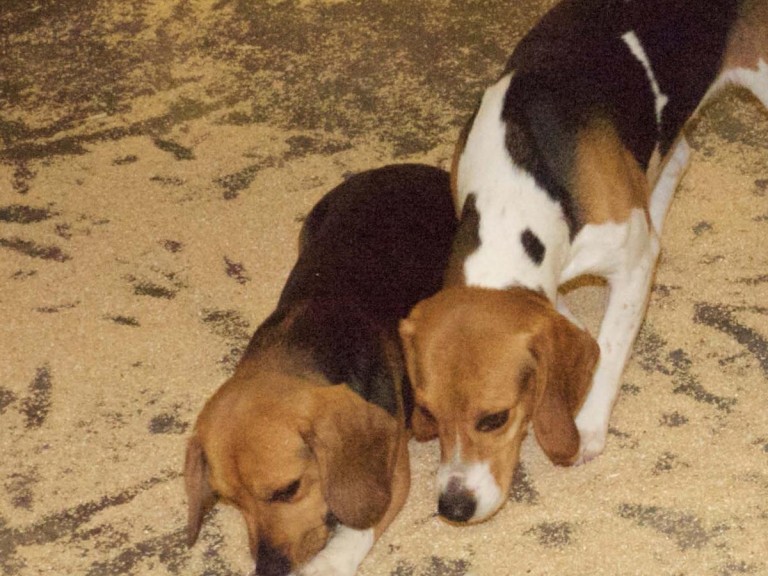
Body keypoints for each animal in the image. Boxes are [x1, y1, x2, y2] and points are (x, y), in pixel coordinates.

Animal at [185, 163, 456, 576]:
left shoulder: (392, 474)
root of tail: (413, 168)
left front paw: (328, 562)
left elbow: (356, 530)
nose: (269, 568)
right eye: (230, 501)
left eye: (288, 490)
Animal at [400, 0, 764, 524]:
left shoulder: (632, 265)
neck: (518, 184)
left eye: (495, 418)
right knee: (675, 161)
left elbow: (609, 347)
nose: (453, 507)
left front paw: (588, 427)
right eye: (429, 411)